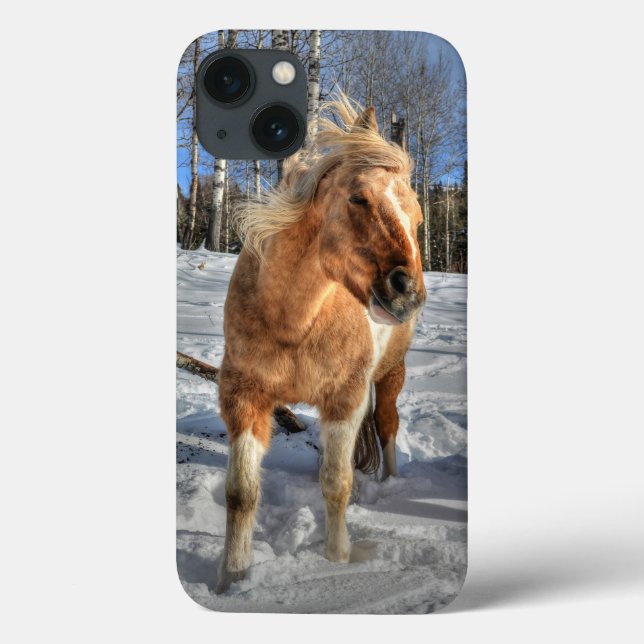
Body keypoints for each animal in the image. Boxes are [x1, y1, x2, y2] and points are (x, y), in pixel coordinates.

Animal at [216, 97, 426, 593]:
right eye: (358, 198)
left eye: (418, 218)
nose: (407, 293)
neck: (295, 321)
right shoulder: (243, 396)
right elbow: (241, 492)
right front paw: (233, 577)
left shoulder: (345, 399)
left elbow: (337, 484)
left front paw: (337, 560)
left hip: (391, 375)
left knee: (386, 426)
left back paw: (390, 483)